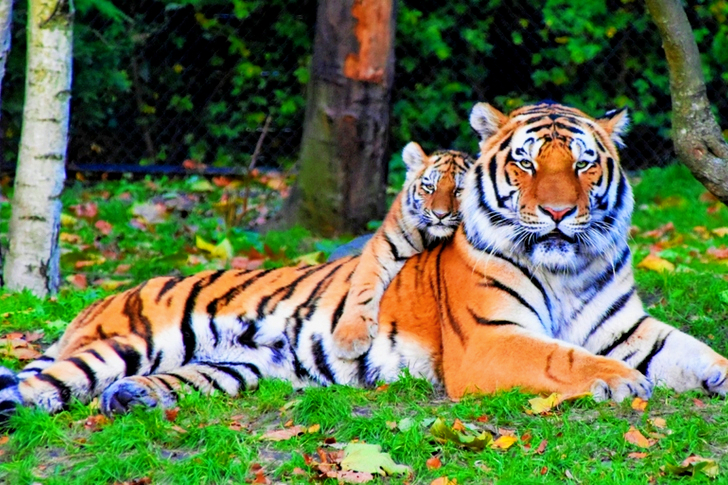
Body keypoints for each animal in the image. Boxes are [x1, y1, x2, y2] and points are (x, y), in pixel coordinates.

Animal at [331, 142, 473, 359]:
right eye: (429, 187)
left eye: (459, 190)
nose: (440, 215)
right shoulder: (381, 249)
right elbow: (363, 289)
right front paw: (349, 338)